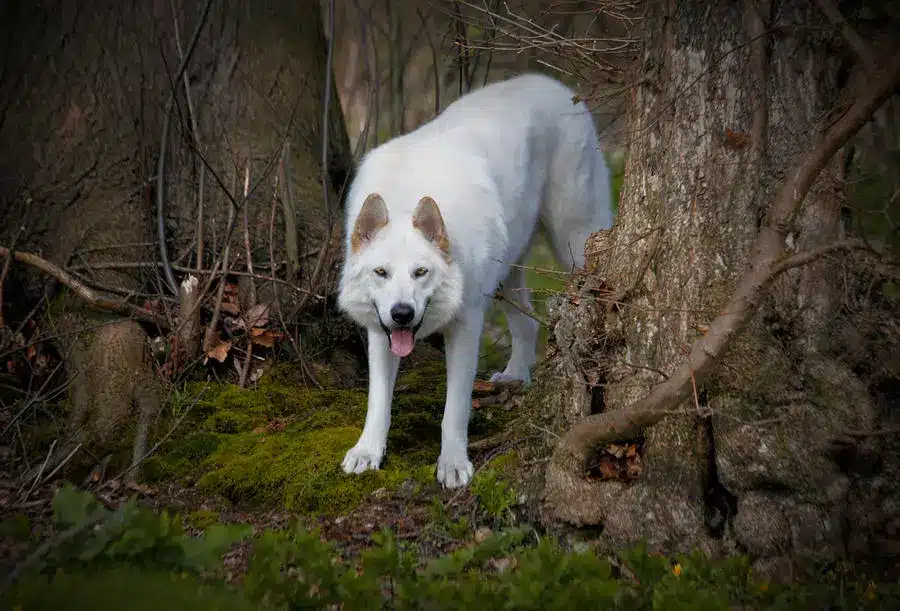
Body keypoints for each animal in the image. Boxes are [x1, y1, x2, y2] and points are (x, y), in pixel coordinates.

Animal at [337, 73, 614, 488]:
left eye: (421, 272)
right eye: (380, 273)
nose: (402, 314)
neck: (405, 200)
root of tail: (552, 83)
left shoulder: (466, 327)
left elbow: (454, 410)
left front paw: (453, 464)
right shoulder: (379, 333)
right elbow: (378, 401)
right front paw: (368, 452)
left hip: (574, 241)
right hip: (507, 272)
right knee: (527, 322)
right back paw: (515, 376)